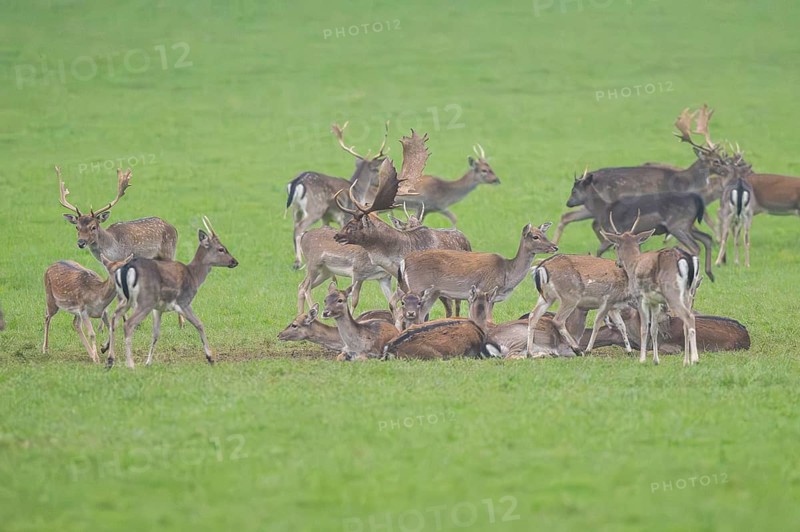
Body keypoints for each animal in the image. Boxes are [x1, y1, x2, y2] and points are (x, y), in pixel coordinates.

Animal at [105, 217, 238, 369]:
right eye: (221, 249)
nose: (235, 261)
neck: (194, 276)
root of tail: (126, 269)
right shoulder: (183, 301)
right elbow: (199, 324)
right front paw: (210, 357)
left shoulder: (158, 309)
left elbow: (155, 334)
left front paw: (148, 362)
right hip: (145, 301)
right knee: (128, 324)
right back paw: (130, 364)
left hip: (124, 299)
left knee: (114, 318)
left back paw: (110, 360)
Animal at [286, 122, 389, 269]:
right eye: (376, 170)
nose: (378, 184)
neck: (358, 189)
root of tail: (297, 181)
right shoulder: (347, 214)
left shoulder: (327, 217)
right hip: (315, 208)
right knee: (299, 228)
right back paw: (298, 262)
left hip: (296, 210)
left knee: (294, 228)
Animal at [399, 223, 559, 321]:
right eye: (535, 236)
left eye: (544, 234)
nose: (555, 247)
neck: (507, 273)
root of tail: (404, 261)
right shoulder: (486, 288)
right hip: (417, 286)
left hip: (432, 292)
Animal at [599, 214, 700, 366]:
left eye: (615, 246)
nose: (617, 263)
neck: (633, 263)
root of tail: (686, 259)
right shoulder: (655, 302)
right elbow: (654, 328)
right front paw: (655, 360)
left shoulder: (640, 298)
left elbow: (644, 328)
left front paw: (642, 359)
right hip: (690, 293)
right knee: (686, 323)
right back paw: (686, 361)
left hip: (672, 293)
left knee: (689, 317)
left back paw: (695, 359)